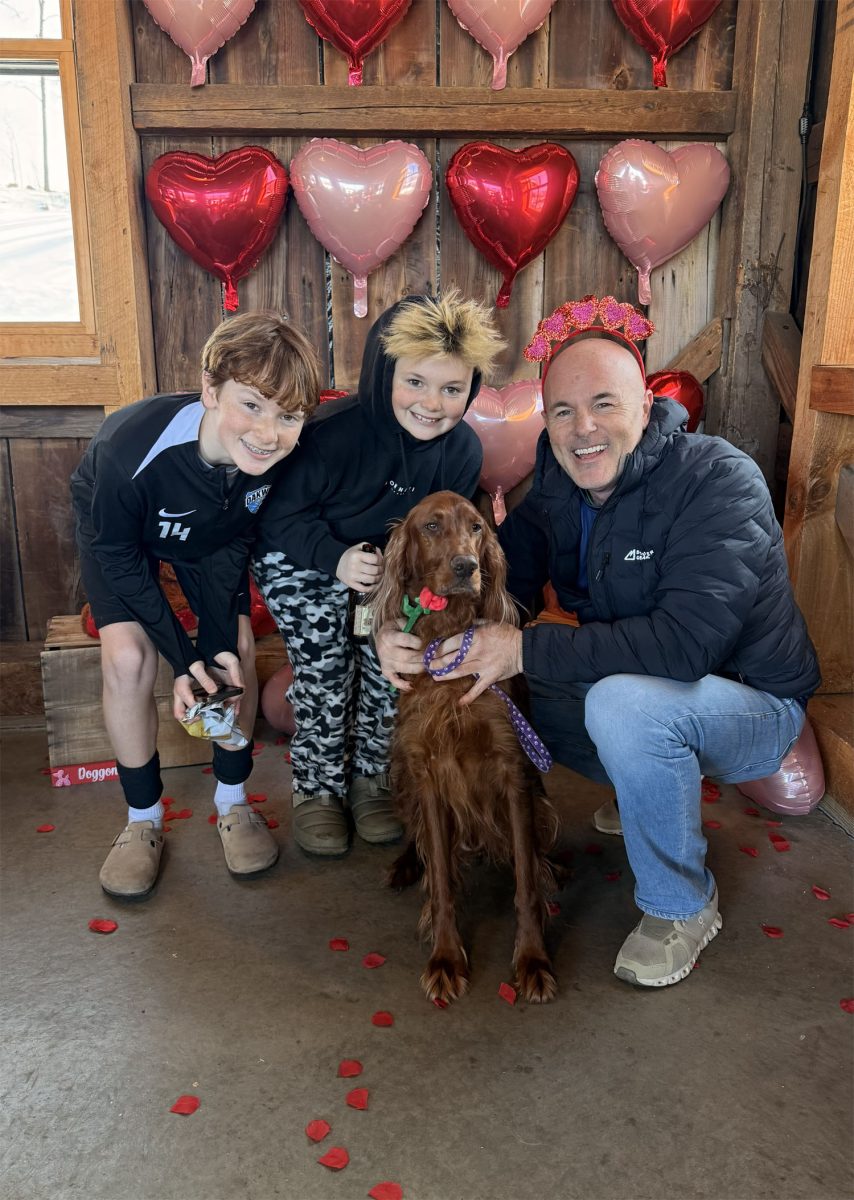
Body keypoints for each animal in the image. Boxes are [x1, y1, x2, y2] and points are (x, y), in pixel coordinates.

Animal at [371, 491, 558, 1004]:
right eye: (431, 526)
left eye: (477, 527)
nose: (465, 566)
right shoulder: (429, 772)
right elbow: (441, 882)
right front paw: (445, 959)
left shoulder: (514, 769)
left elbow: (525, 882)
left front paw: (532, 959)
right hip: (404, 773)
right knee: (418, 839)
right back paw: (404, 866)